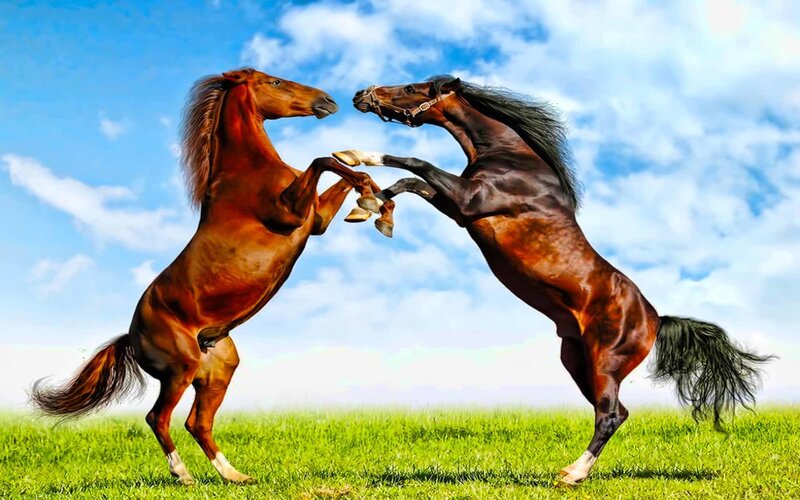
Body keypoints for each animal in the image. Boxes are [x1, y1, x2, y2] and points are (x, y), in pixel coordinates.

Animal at [30, 68, 389, 485]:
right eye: (275, 82)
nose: (327, 101)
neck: (245, 170)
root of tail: (131, 336)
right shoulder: (292, 213)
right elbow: (322, 161)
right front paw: (371, 200)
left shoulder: (315, 221)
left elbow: (341, 169)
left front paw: (371, 196)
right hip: (179, 370)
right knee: (158, 418)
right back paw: (183, 475)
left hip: (218, 371)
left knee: (197, 422)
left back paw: (235, 476)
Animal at [334, 76, 774, 486]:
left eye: (412, 87)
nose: (361, 94)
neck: (511, 159)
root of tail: (656, 319)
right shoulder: (458, 208)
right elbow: (409, 183)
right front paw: (369, 208)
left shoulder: (469, 201)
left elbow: (416, 163)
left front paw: (355, 156)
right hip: (577, 360)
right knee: (614, 411)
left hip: (604, 361)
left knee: (610, 414)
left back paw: (572, 474)